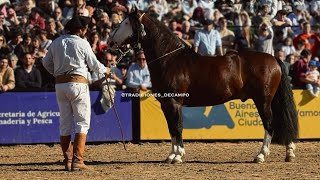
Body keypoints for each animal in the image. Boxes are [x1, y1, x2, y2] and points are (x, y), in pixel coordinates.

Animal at [107, 9, 298, 165]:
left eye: (125, 23)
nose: (110, 41)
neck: (170, 60)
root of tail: (273, 59)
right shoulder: (166, 104)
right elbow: (171, 129)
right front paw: (171, 155)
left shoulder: (174, 103)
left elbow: (178, 127)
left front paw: (178, 156)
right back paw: (289, 152)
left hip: (263, 101)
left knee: (270, 124)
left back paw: (261, 155)